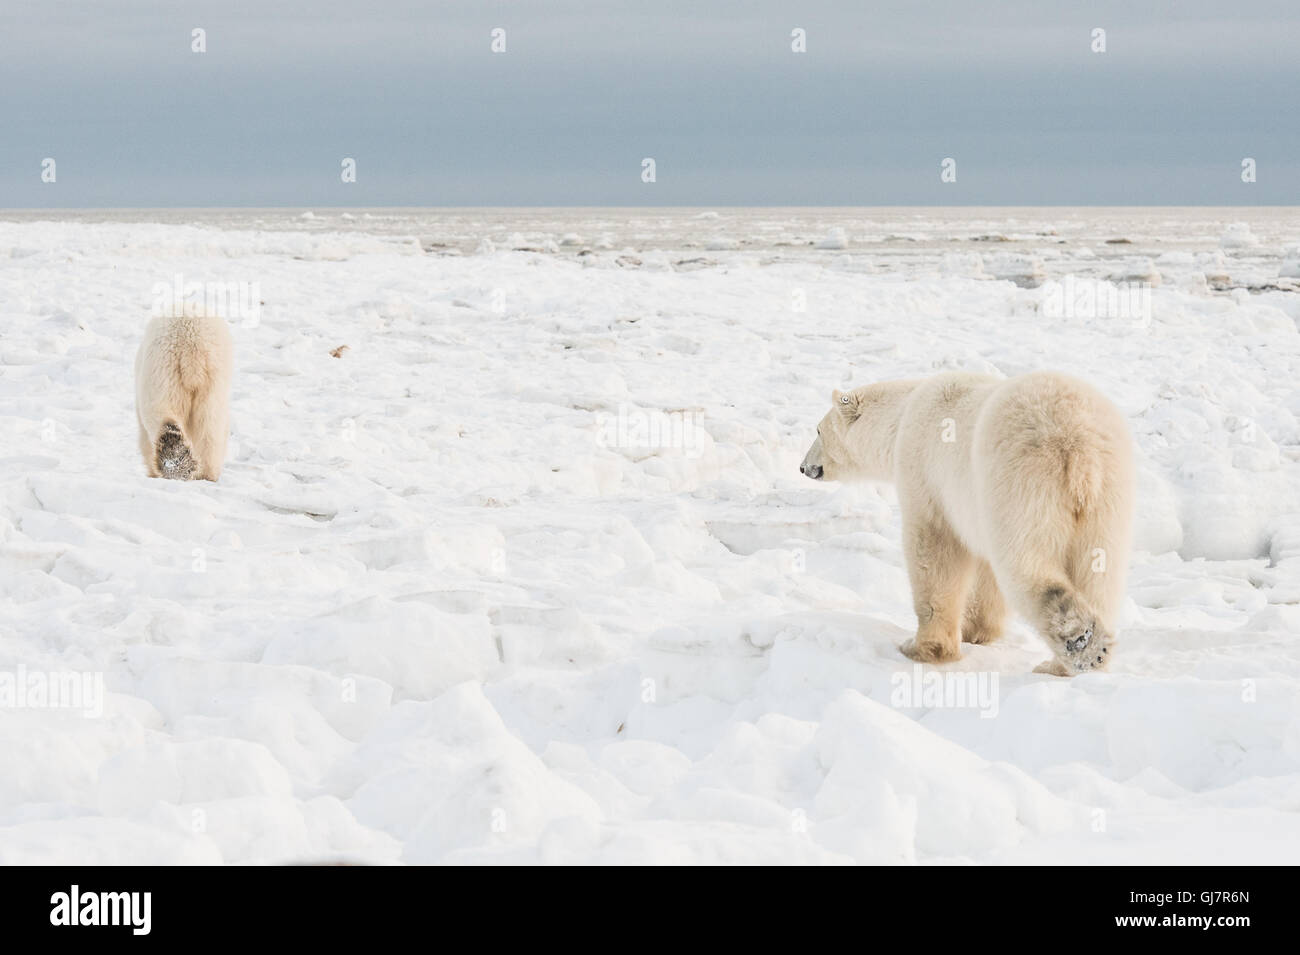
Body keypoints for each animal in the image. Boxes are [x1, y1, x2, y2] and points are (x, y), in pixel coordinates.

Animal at [135, 311, 232, 480]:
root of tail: (191, 343)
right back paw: (204, 473)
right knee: (211, 426)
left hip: (162, 372)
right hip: (212, 379)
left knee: (160, 413)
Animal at [795, 369, 1133, 675]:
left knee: (1027, 564)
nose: (803, 467)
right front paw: (976, 631)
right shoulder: (974, 509)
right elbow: (985, 571)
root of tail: (1077, 446)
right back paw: (1068, 661)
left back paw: (1079, 642)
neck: (902, 416)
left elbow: (933, 551)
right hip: (1107, 497)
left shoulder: (925, 473)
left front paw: (923, 647)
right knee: (1098, 572)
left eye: (818, 430)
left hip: (1022, 480)